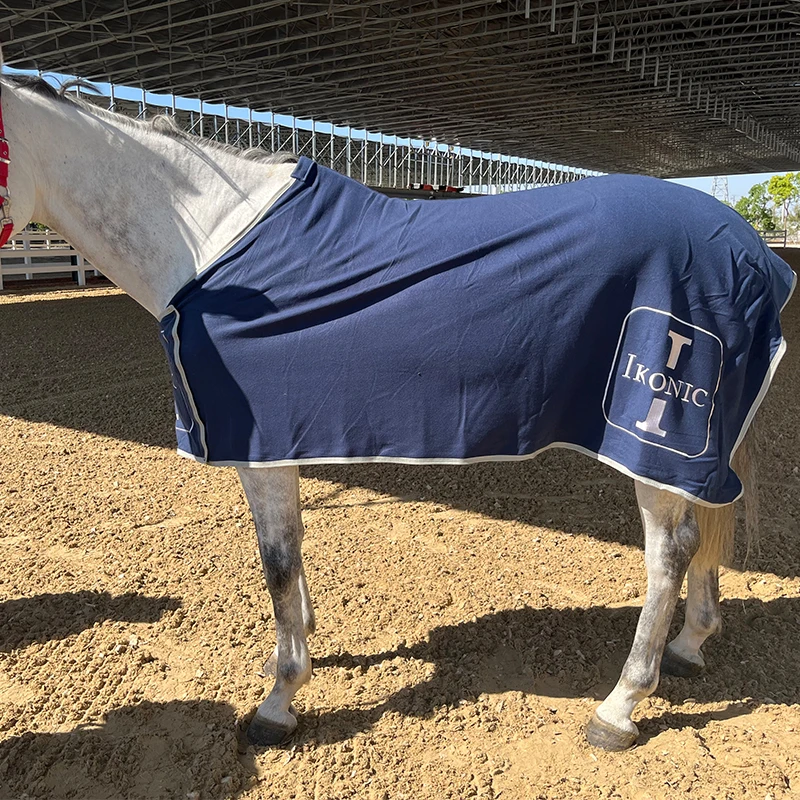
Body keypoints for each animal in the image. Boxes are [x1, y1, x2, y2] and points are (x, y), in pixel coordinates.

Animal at [0, 62, 794, 753]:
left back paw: (619, 707)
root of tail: (750, 250)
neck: (214, 243)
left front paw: (280, 703)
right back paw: (690, 645)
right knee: (701, 533)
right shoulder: (282, 446)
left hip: (653, 440)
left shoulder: (260, 452)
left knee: (669, 554)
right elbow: (293, 566)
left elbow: (277, 567)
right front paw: (298, 657)